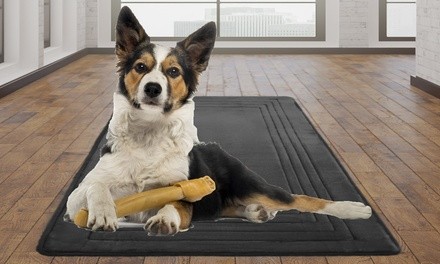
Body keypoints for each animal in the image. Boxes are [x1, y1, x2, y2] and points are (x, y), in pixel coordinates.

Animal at [63, 7, 372, 236]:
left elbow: (174, 202)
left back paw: (352, 209)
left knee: (300, 199)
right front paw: (103, 212)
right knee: (228, 208)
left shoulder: (182, 192)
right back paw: (255, 212)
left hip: (251, 184)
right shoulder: (77, 197)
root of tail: (217, 147)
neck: (149, 133)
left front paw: (164, 218)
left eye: (173, 72)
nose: (152, 88)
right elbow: (94, 187)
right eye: (141, 67)